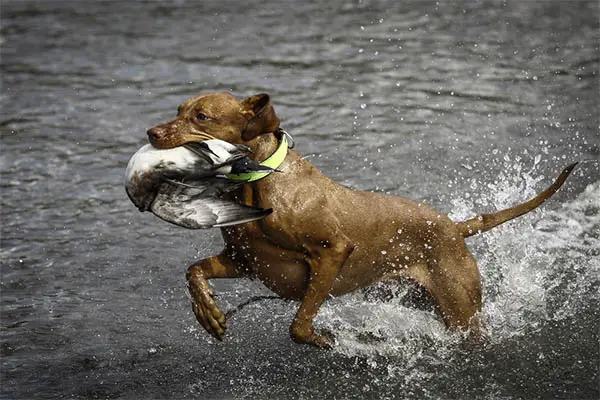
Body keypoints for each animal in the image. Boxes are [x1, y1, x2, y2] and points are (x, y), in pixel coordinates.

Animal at [145, 92, 576, 348]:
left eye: (202, 116)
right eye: (178, 110)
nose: (151, 132)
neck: (258, 182)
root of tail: (455, 227)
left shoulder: (332, 251)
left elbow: (300, 325)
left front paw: (327, 339)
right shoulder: (246, 261)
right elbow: (194, 270)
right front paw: (208, 313)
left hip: (462, 313)